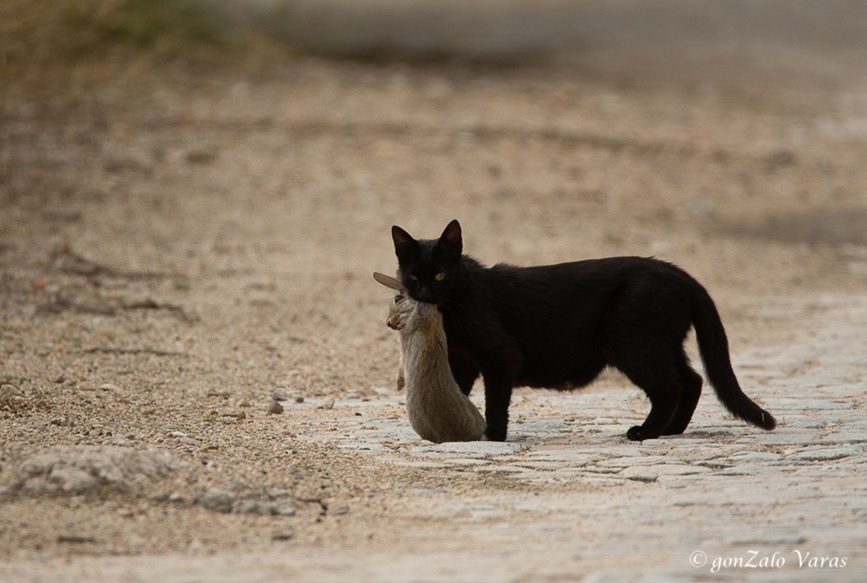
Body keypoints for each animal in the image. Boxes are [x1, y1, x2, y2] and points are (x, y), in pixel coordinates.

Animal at [390, 219, 776, 442]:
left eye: (440, 274)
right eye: (414, 276)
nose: (424, 294)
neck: (456, 303)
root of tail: (679, 273)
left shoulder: (500, 357)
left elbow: (496, 400)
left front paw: (494, 436)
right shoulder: (463, 360)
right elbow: (457, 391)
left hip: (630, 341)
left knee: (670, 387)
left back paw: (646, 432)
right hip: (660, 344)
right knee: (691, 379)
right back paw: (672, 430)